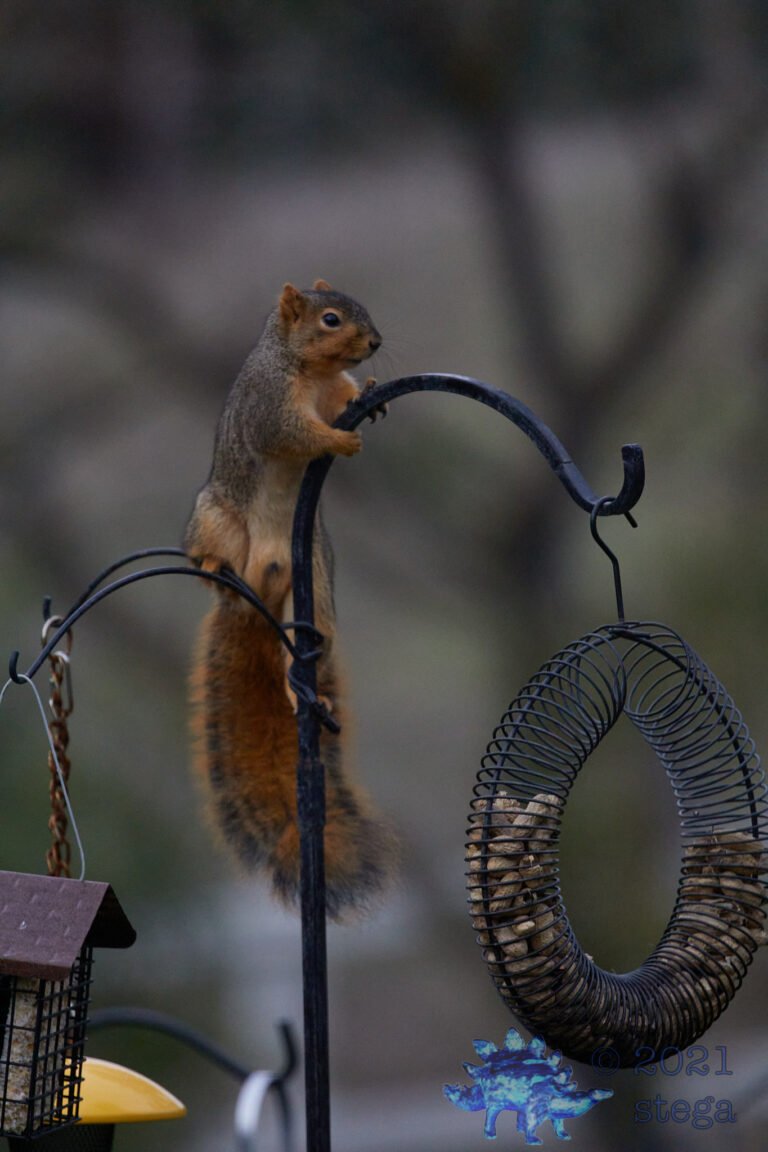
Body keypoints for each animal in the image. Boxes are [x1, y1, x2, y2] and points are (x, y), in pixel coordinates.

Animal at [185, 279, 395, 919]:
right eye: (330, 319)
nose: (376, 343)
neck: (309, 369)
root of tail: (259, 590)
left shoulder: (334, 391)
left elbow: (348, 396)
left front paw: (371, 392)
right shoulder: (270, 405)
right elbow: (294, 434)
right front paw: (340, 439)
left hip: (315, 589)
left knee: (294, 659)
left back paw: (302, 689)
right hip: (218, 520)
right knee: (212, 560)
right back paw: (210, 567)